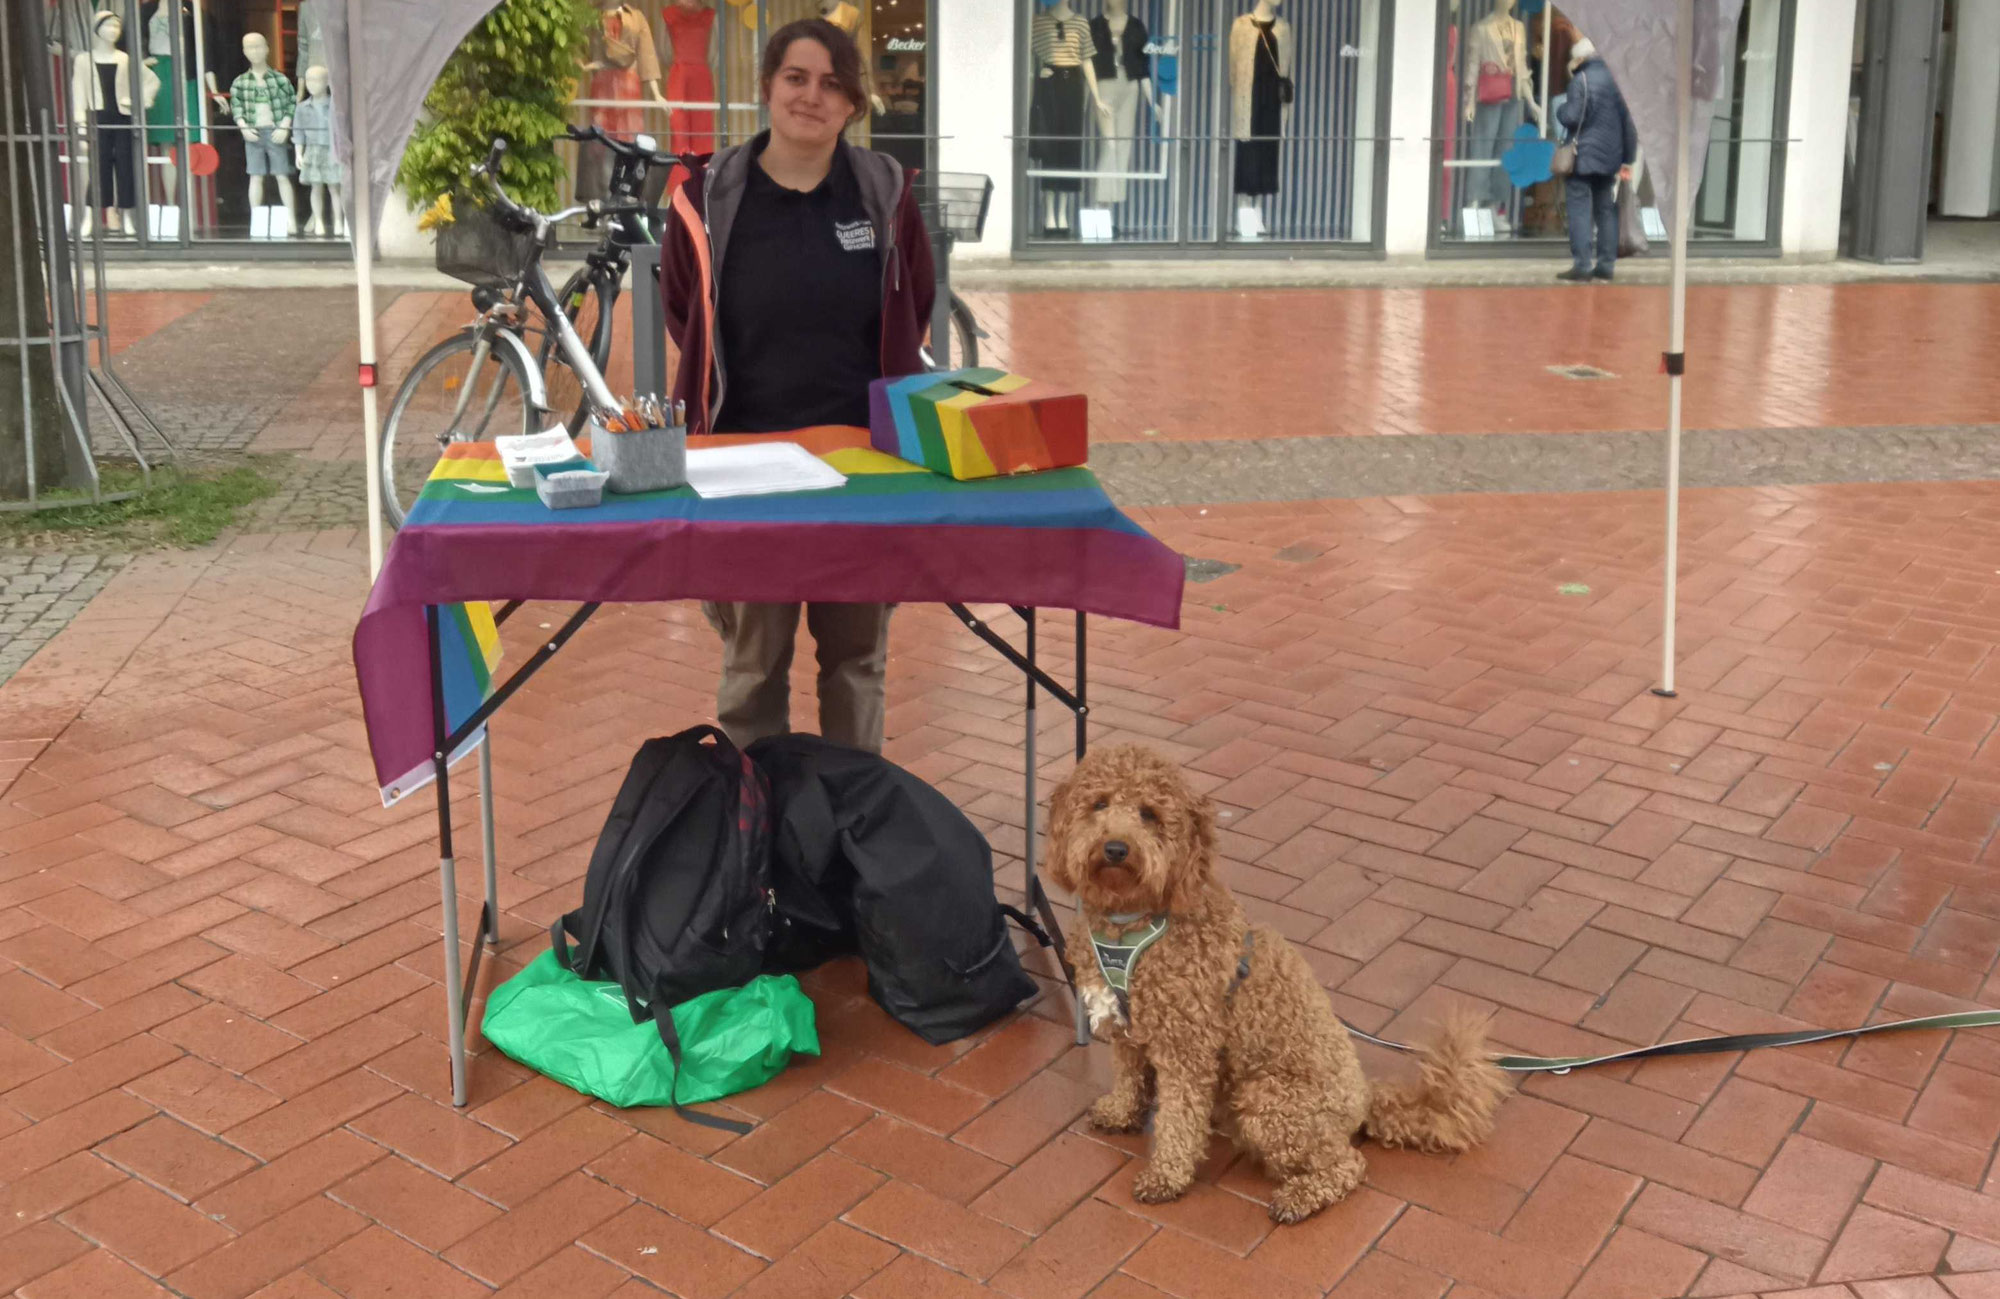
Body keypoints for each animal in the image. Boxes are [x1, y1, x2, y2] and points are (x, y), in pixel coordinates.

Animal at [1056, 743, 1504, 1223]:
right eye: (1099, 804)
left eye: (1149, 814)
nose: (1115, 848)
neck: (1132, 923)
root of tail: (1365, 1097)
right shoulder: (1127, 1031)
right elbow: (1127, 1077)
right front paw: (1121, 1112)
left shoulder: (1186, 1049)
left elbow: (1178, 1120)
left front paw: (1166, 1176)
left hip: (1269, 1101)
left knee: (1348, 1164)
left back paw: (1300, 1197)